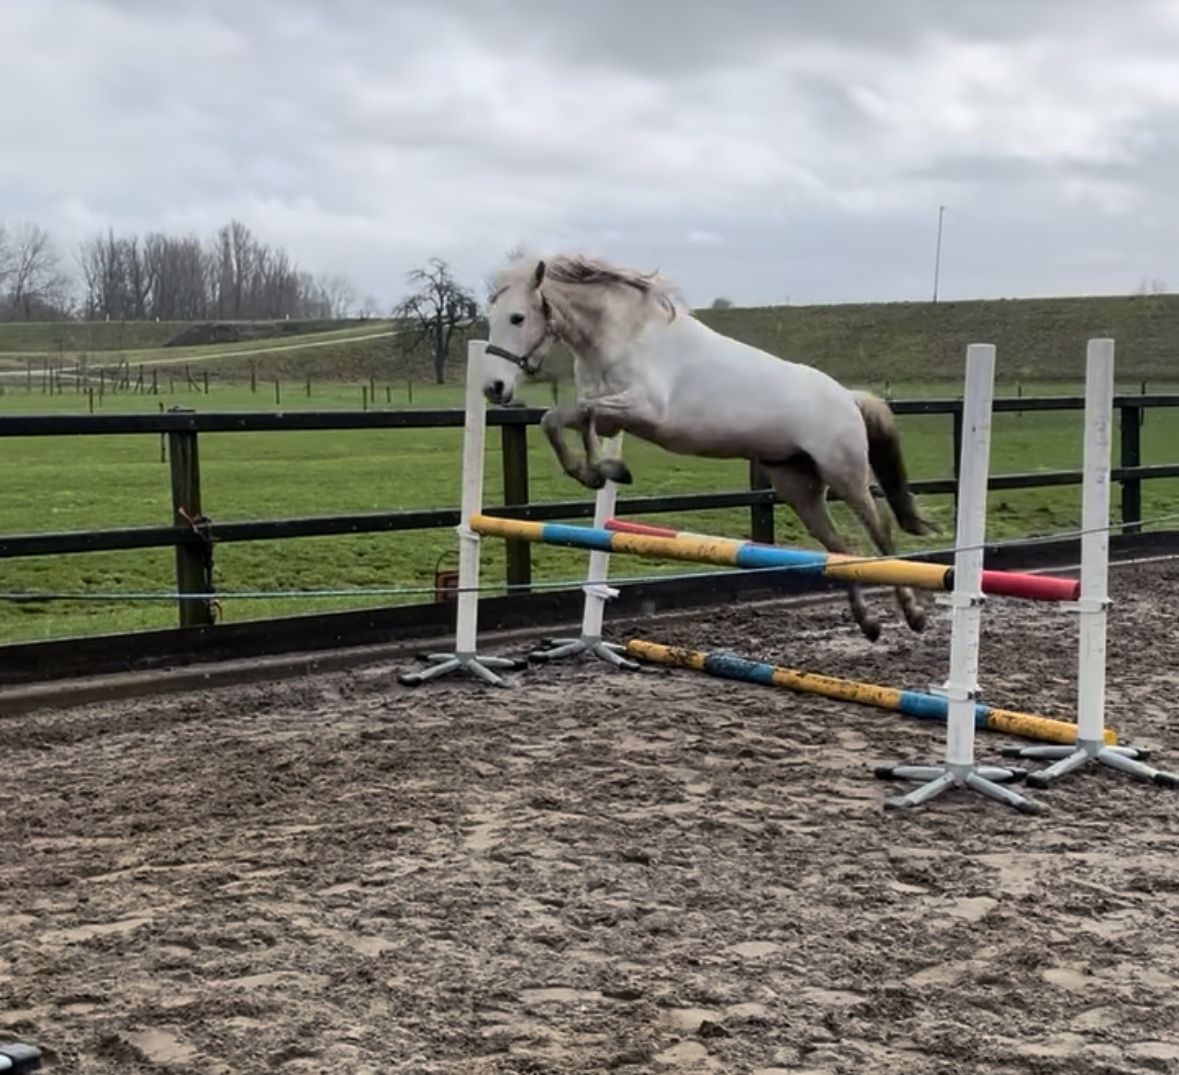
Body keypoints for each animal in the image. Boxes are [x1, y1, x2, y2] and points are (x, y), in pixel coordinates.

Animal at [481, 253, 938, 642]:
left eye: (518, 317)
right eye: (492, 319)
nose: (494, 387)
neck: (626, 336)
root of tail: (847, 397)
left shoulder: (644, 409)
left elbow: (591, 418)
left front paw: (606, 470)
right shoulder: (604, 408)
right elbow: (556, 421)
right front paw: (596, 473)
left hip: (846, 475)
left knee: (881, 535)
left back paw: (914, 615)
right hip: (797, 485)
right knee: (842, 548)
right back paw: (869, 624)